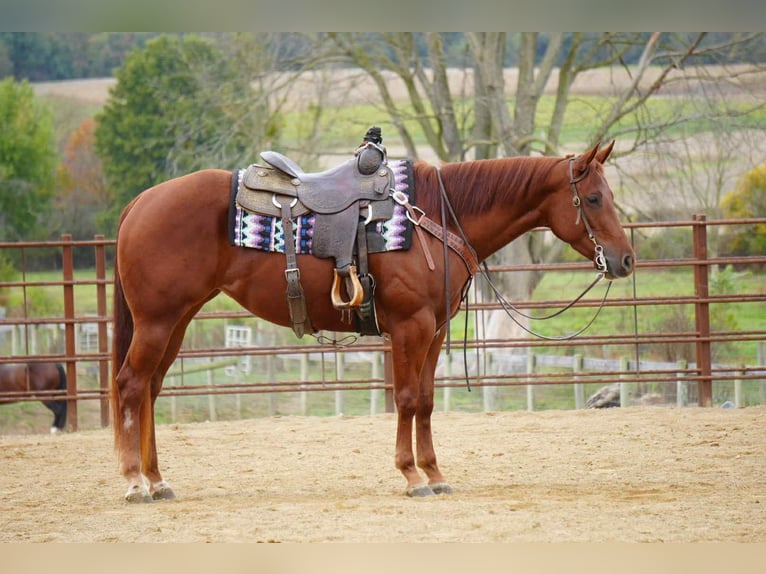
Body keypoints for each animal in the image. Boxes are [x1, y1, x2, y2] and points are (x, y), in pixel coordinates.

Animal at [111, 141, 635, 502]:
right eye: (592, 199)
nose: (626, 259)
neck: (436, 216)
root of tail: (140, 202)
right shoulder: (410, 328)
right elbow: (405, 399)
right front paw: (411, 476)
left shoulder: (435, 332)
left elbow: (426, 401)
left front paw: (435, 474)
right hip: (157, 321)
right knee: (132, 385)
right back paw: (135, 482)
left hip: (177, 321)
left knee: (151, 388)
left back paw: (157, 480)